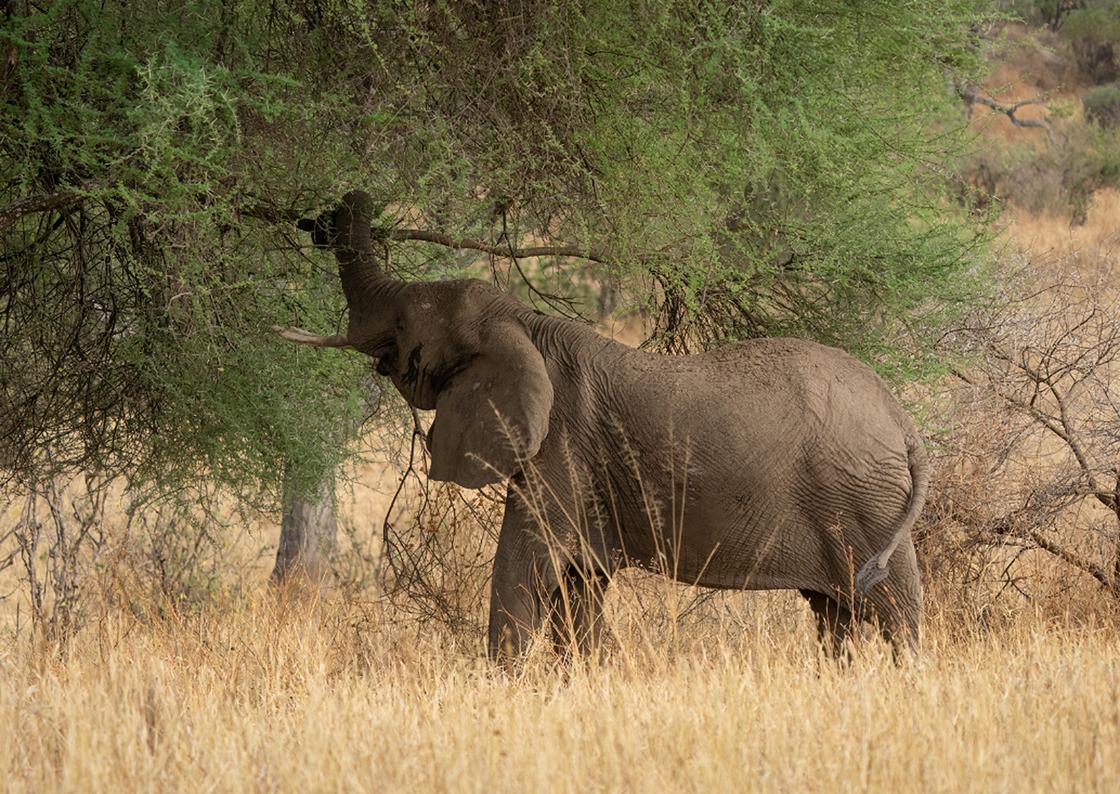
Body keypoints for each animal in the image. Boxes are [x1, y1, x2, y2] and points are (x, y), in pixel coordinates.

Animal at [275, 190, 931, 658]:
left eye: (404, 324)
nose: (327, 215)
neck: (521, 324)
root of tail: (903, 421)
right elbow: (577, 587)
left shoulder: (560, 447)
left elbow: (526, 568)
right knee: (835, 615)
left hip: (864, 502)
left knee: (893, 610)